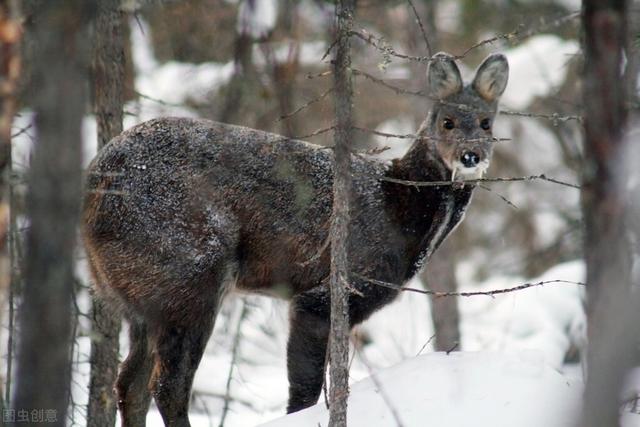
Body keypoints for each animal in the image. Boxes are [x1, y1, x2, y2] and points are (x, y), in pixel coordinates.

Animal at [81, 53, 510, 427]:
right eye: (447, 121)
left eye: (487, 123)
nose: (470, 157)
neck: (399, 208)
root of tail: (94, 183)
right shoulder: (329, 291)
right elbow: (303, 392)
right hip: (187, 272)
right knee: (166, 385)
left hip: (140, 296)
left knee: (130, 384)